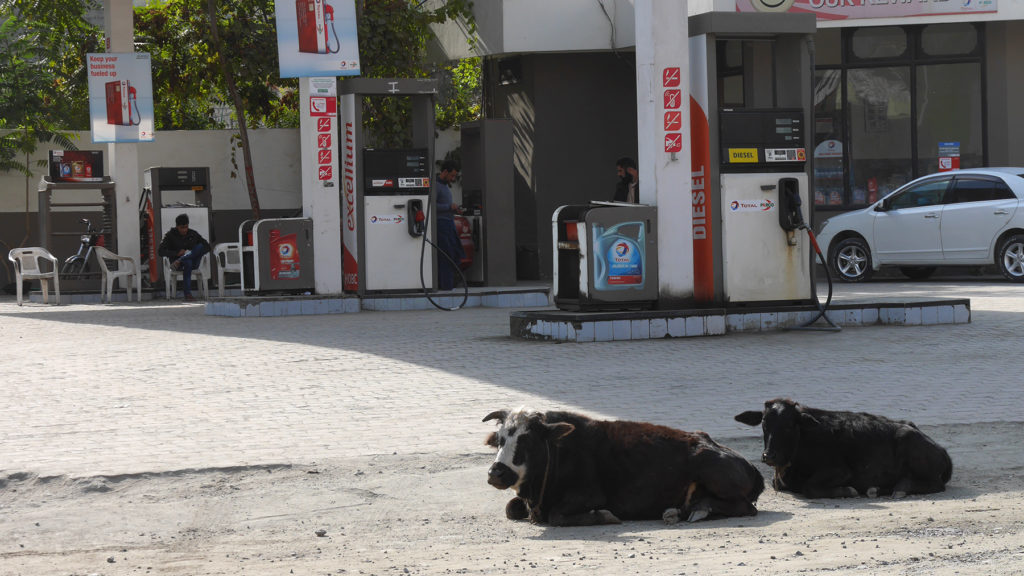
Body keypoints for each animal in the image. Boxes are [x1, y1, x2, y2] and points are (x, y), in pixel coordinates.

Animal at [483, 405, 765, 522]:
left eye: (527, 440)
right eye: (500, 439)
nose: (496, 473)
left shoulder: (589, 495)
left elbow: (557, 516)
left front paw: (603, 516)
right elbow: (511, 508)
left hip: (711, 469)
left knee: (745, 507)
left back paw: (698, 510)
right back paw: (678, 512)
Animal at [737, 397, 950, 496]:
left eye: (789, 425)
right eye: (764, 423)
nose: (769, 456)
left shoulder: (841, 471)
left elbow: (810, 487)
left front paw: (848, 491)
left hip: (909, 443)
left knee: (935, 484)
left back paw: (901, 488)